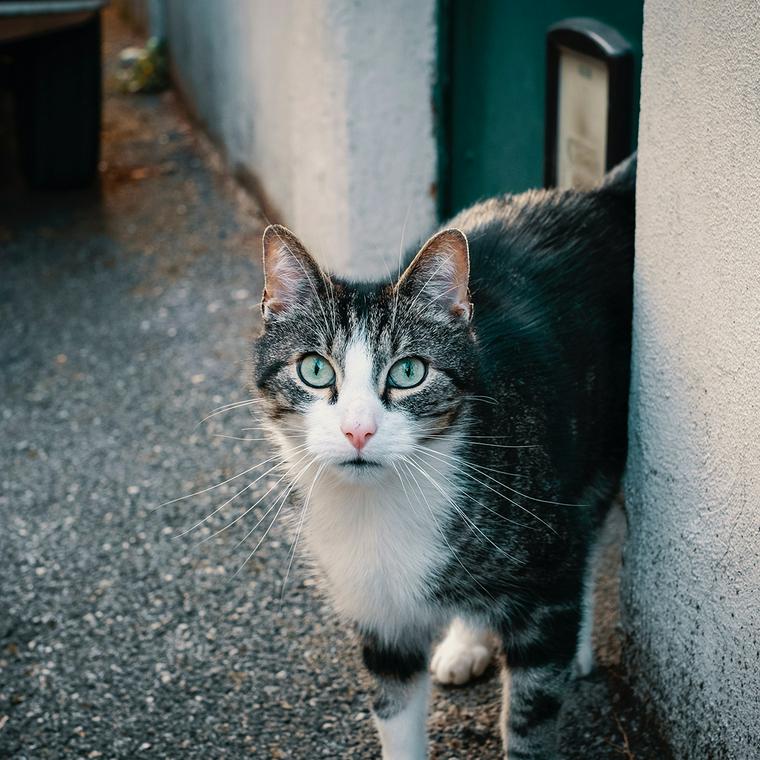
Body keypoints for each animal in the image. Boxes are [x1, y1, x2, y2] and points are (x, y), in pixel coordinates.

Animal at [251, 156, 636, 760]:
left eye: (409, 371)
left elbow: (530, 715)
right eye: (314, 369)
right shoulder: (380, 616)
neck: (379, 508)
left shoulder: (545, 568)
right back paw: (466, 642)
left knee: (586, 529)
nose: (358, 430)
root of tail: (596, 194)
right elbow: (395, 709)